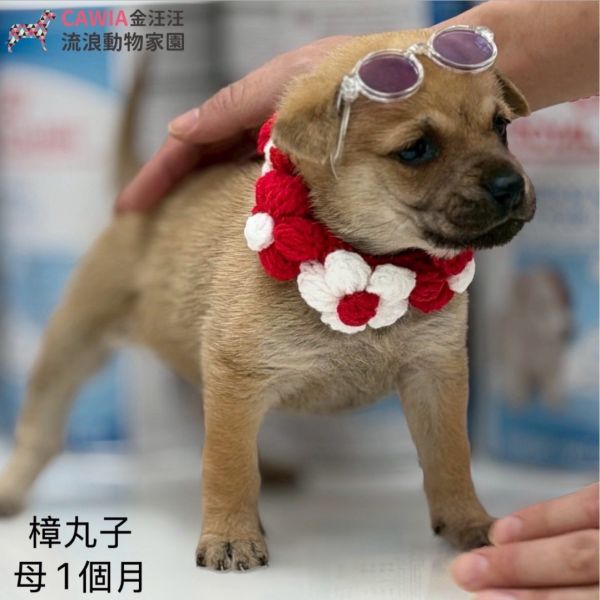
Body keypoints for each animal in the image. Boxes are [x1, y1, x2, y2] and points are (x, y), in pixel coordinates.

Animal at [0, 29, 536, 571]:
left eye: (501, 127)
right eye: (417, 150)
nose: (510, 185)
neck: (366, 259)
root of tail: (147, 204)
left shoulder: (435, 374)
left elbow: (451, 459)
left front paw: (469, 521)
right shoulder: (237, 379)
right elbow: (229, 465)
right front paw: (230, 535)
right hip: (73, 344)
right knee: (41, 430)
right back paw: (12, 489)